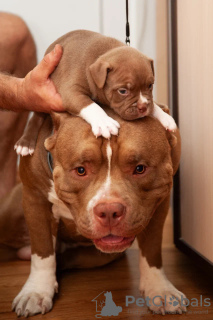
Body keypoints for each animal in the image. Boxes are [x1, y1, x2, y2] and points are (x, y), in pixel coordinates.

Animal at [10, 106, 186, 316]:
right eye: (80, 170)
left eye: (140, 168)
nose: (109, 212)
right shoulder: (35, 200)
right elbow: (42, 252)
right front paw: (35, 292)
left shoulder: (159, 203)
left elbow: (151, 249)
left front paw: (160, 289)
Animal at [15, 30, 176, 156]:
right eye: (123, 91)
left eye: (150, 85)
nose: (142, 107)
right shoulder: (71, 92)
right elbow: (90, 105)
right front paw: (104, 122)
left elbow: (153, 103)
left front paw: (164, 117)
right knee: (36, 118)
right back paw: (25, 143)